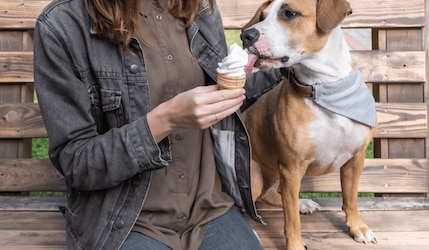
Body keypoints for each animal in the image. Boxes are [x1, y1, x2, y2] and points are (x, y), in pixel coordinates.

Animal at [241, 0, 378, 248]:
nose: (246, 35)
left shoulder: (356, 159)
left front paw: (357, 228)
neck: (324, 88)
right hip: (253, 173)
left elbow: (351, 198)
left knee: (269, 195)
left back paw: (303, 203)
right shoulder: (291, 168)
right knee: (245, 203)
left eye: (289, 13)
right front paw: (295, 244)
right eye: (262, 17)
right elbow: (291, 219)